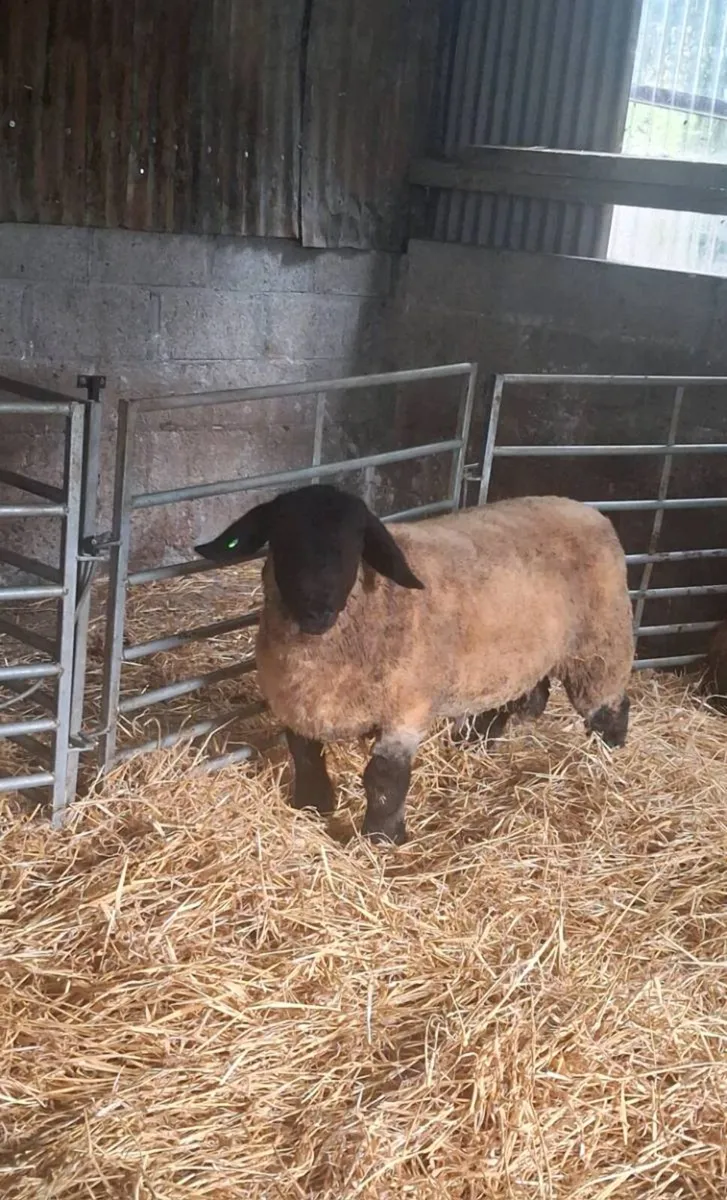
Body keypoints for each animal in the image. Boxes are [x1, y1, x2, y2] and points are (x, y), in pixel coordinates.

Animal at [195, 483, 634, 845]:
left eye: (355, 541)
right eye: (283, 537)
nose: (317, 610)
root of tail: (585, 508)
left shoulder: (404, 707)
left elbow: (384, 778)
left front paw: (382, 838)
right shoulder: (298, 706)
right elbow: (304, 756)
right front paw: (311, 806)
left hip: (601, 644)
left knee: (610, 705)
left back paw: (607, 754)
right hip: (517, 655)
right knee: (519, 696)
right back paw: (476, 742)